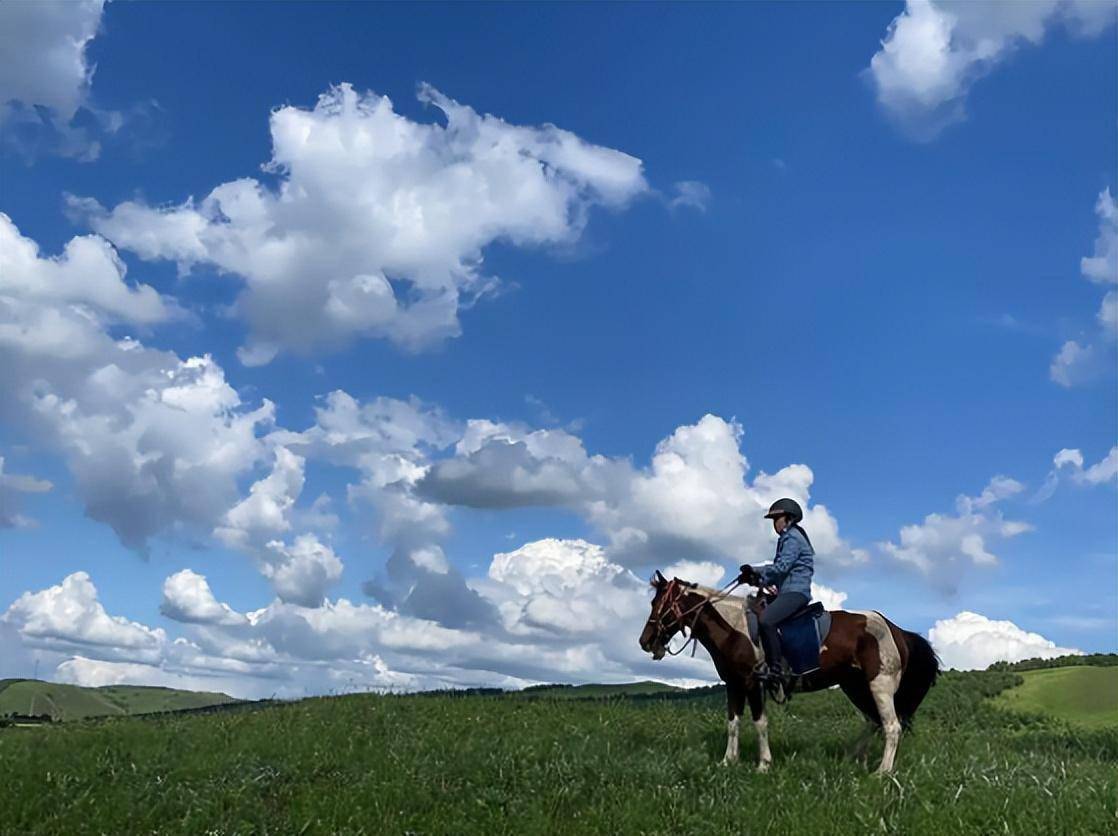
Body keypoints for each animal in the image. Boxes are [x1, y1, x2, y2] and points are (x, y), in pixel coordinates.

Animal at [635, 572, 939, 773]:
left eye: (658, 605)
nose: (645, 641)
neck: (735, 629)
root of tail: (897, 630)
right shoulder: (733, 685)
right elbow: (733, 723)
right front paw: (728, 761)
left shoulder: (752, 684)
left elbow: (760, 723)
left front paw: (763, 764)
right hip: (855, 686)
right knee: (873, 721)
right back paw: (854, 758)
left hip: (880, 685)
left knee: (891, 726)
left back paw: (882, 772)